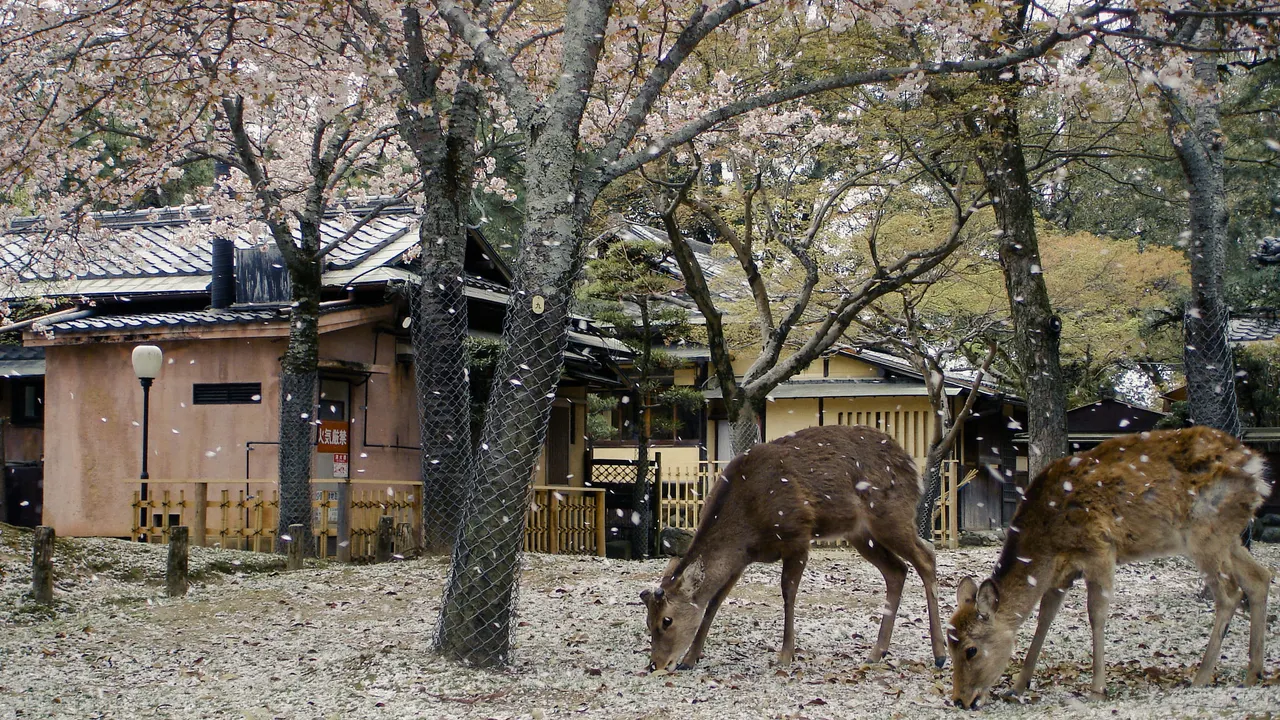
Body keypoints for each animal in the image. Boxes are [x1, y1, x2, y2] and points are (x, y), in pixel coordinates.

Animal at [640, 424, 947, 672]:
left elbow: (788, 593)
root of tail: (912, 465)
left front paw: (785, 655)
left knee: (926, 557)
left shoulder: (798, 535)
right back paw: (876, 653)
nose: (656, 664)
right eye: (647, 621)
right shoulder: (741, 558)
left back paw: (940, 654)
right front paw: (690, 659)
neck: (747, 523)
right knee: (897, 570)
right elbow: (714, 602)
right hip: (861, 534)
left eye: (666, 621)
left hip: (891, 515)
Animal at [948, 426, 1272, 710]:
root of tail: (1257, 468)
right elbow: (1044, 619)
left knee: (1229, 593)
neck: (1046, 543)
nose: (960, 700)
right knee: (1259, 577)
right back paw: (1253, 674)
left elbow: (1096, 615)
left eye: (970, 649)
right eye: (950, 645)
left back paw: (1201, 677)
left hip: (1204, 532)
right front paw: (1017, 688)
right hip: (1227, 536)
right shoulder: (1061, 573)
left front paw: (1097, 689)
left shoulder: (1100, 549)